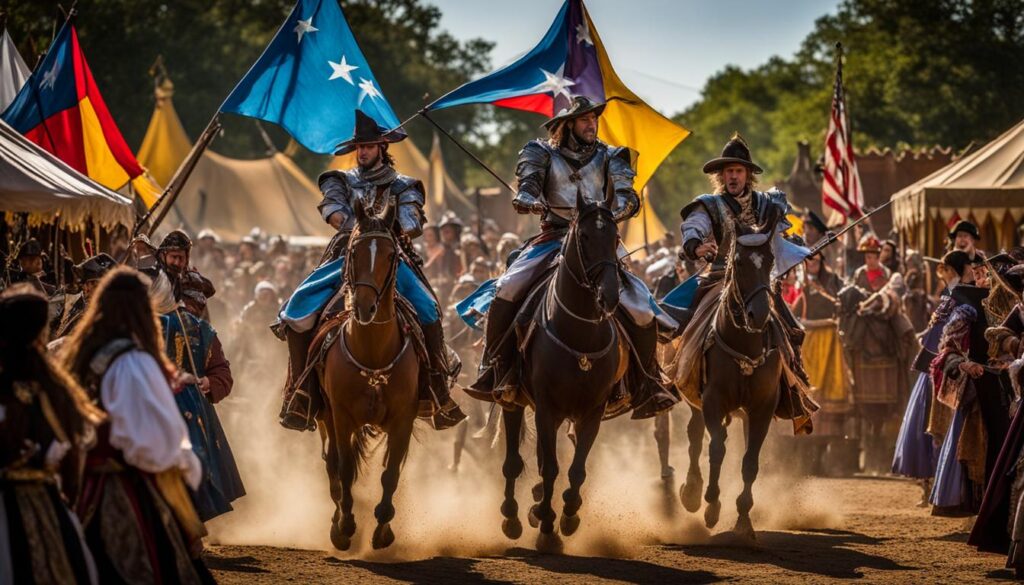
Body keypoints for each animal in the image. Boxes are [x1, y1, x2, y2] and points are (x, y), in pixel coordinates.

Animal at [317, 198, 417, 553]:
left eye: (391, 255)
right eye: (354, 252)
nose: (363, 307)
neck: (373, 352)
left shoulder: (403, 420)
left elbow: (391, 473)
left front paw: (383, 529)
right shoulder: (342, 417)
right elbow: (345, 471)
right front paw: (345, 526)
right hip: (325, 418)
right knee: (332, 466)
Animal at [495, 189, 622, 553]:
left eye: (616, 237)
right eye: (585, 237)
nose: (610, 296)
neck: (579, 333)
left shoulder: (591, 413)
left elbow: (576, 470)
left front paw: (568, 516)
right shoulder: (547, 408)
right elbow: (550, 468)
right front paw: (547, 525)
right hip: (514, 401)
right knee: (514, 462)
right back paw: (512, 516)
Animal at [684, 207, 786, 540]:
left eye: (769, 259)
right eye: (739, 261)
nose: (759, 313)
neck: (744, 343)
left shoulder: (762, 408)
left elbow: (750, 461)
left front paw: (743, 518)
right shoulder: (712, 401)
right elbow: (716, 449)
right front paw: (711, 505)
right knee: (695, 436)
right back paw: (691, 492)